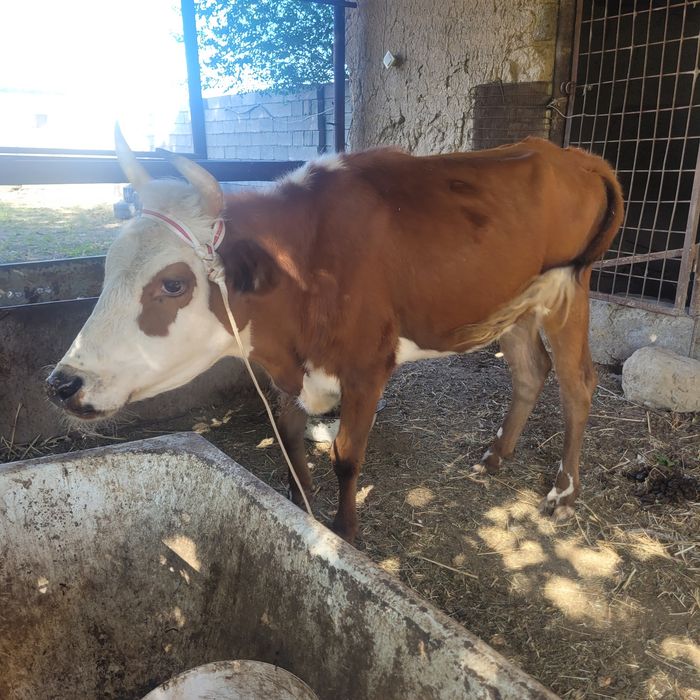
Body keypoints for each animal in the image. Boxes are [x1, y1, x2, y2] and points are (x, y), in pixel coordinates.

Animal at [47, 129, 623, 543]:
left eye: (173, 283)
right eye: (106, 269)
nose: (62, 383)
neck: (307, 265)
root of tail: (567, 153)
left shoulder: (368, 366)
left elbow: (346, 456)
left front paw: (345, 533)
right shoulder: (291, 370)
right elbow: (288, 436)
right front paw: (301, 509)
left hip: (569, 293)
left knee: (578, 384)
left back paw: (564, 492)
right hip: (518, 304)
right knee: (530, 372)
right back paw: (497, 455)